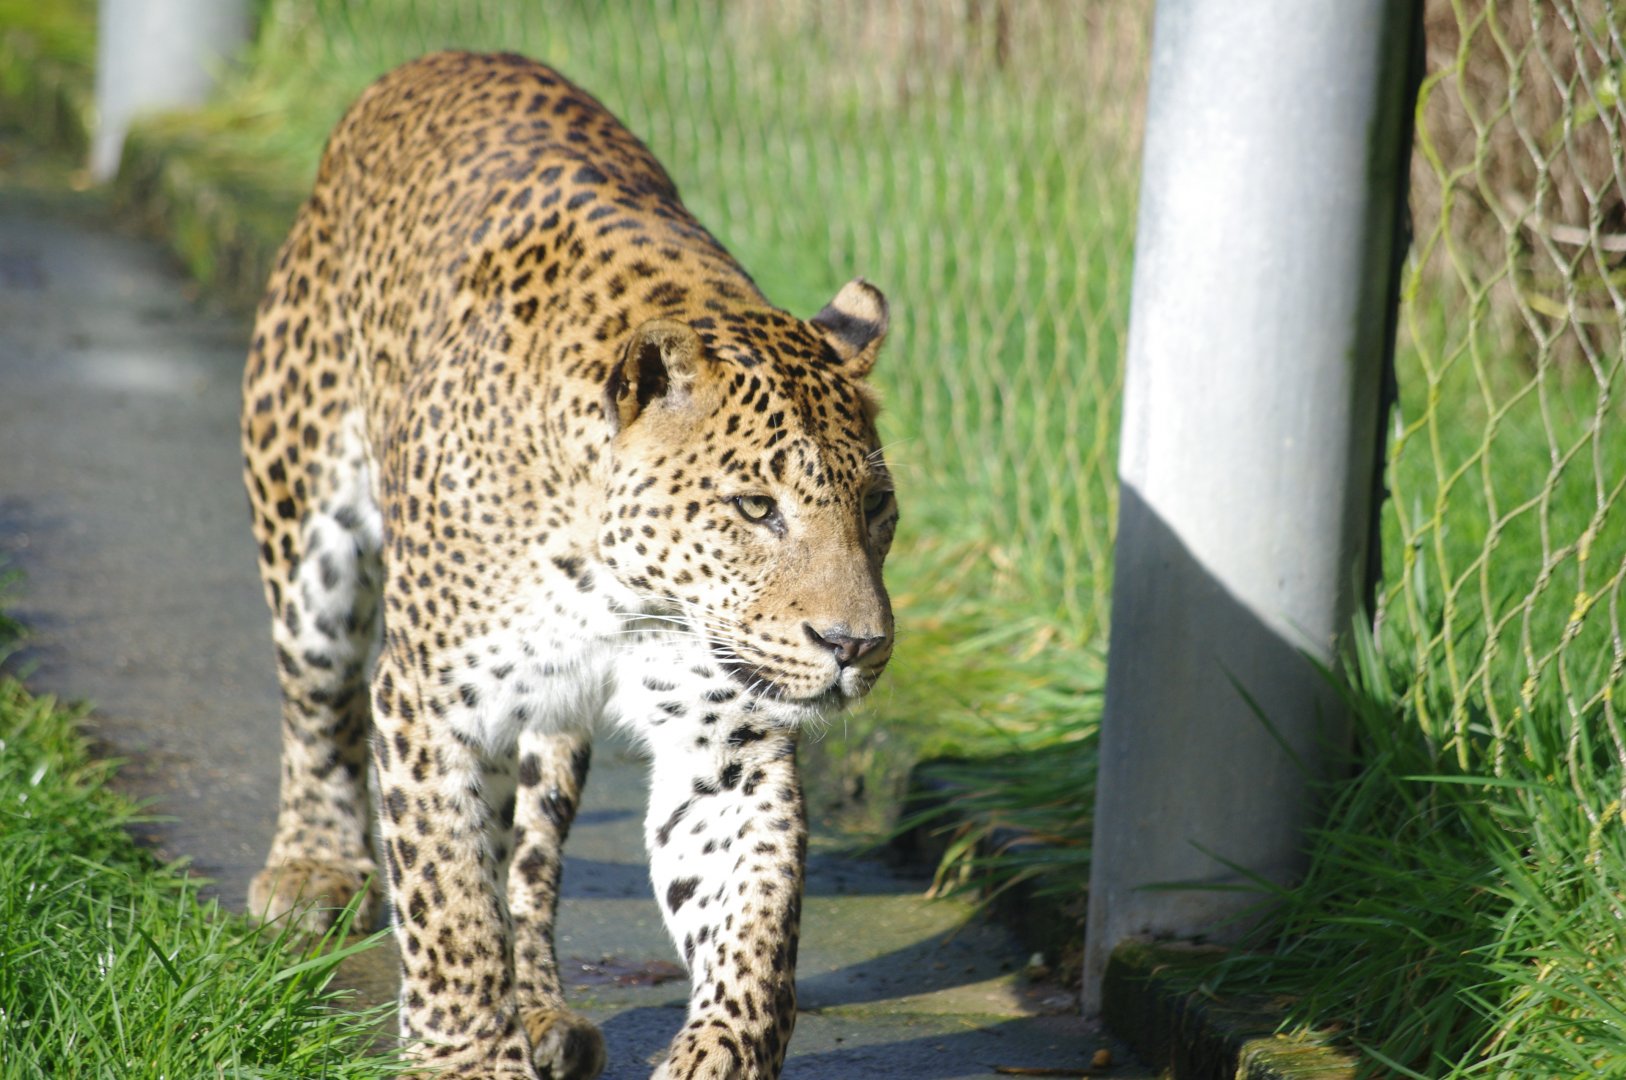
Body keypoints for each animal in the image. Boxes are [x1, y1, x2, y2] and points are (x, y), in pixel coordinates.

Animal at [240, 50, 896, 1080]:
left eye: (875, 507)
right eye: (756, 507)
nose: (857, 646)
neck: (623, 590)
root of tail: (441, 60)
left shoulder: (728, 744)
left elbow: (753, 920)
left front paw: (718, 1055)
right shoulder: (427, 698)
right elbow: (447, 905)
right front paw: (466, 1057)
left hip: (548, 727)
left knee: (528, 855)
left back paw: (545, 1009)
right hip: (304, 515)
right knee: (316, 705)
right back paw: (312, 867)